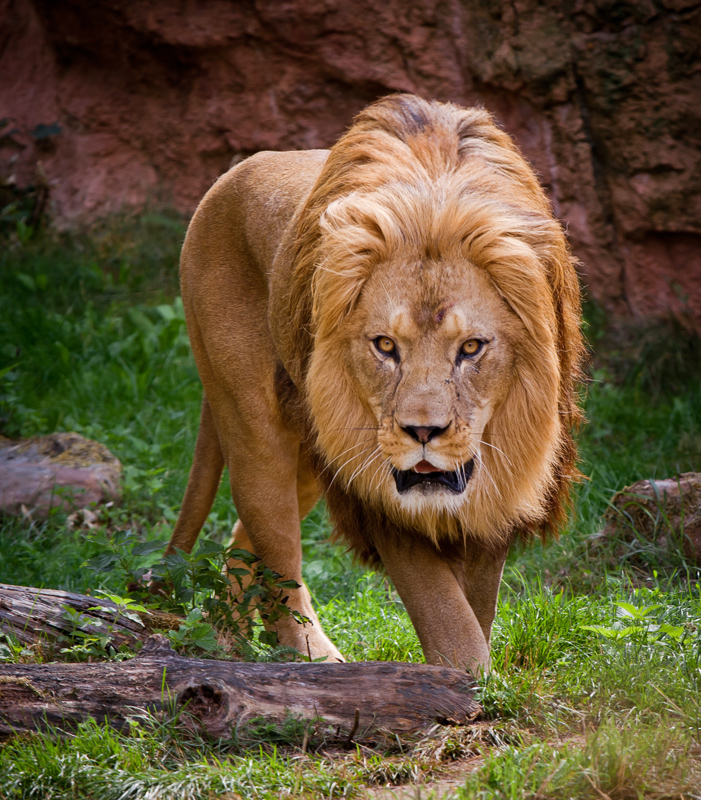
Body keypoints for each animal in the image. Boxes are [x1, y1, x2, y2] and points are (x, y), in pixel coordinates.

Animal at [167, 94, 584, 676]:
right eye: (386, 346)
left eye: (471, 348)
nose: (423, 433)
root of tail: (230, 175)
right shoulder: (376, 485)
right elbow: (445, 611)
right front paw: (466, 679)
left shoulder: (501, 479)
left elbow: (478, 601)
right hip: (257, 424)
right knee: (277, 553)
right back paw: (310, 659)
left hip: (310, 454)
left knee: (242, 542)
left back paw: (225, 641)